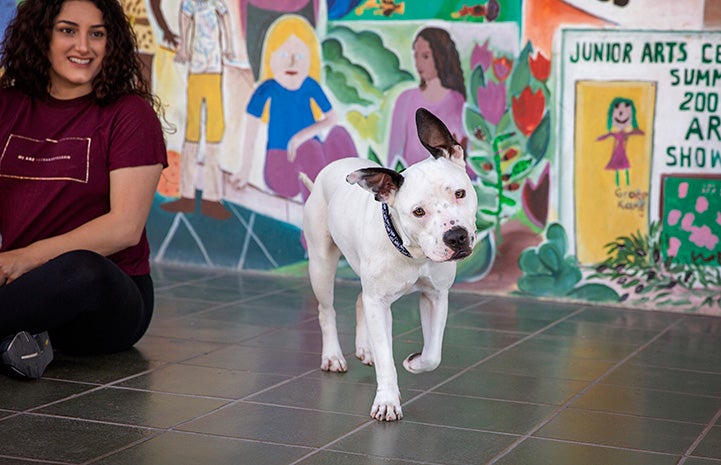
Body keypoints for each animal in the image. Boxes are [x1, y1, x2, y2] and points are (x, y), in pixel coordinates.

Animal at [302, 109, 478, 420]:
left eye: (459, 193)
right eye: (418, 212)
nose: (456, 236)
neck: (414, 253)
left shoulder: (436, 296)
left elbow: (433, 354)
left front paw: (414, 362)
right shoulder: (379, 303)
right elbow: (386, 357)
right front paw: (386, 400)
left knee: (360, 299)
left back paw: (365, 348)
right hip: (321, 265)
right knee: (327, 311)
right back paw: (333, 355)